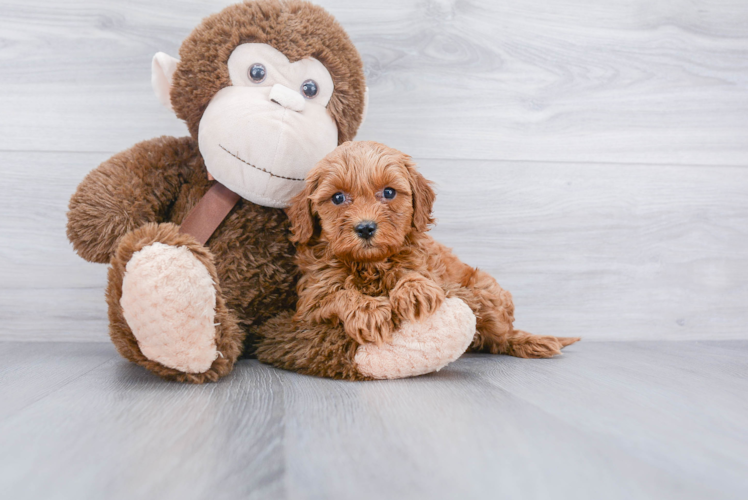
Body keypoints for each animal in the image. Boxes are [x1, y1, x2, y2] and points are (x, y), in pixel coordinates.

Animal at [286, 143, 580, 358]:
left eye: (389, 192)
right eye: (337, 198)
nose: (366, 228)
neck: (370, 264)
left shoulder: (427, 264)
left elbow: (416, 273)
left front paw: (414, 290)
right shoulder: (310, 303)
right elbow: (338, 295)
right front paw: (369, 311)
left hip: (487, 291)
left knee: (500, 337)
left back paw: (526, 341)